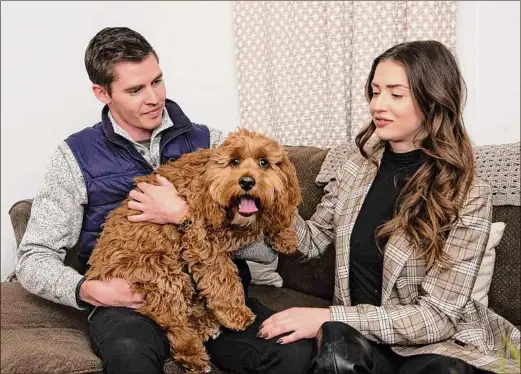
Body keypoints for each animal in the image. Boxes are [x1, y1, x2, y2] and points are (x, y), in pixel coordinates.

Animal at [85, 128, 300, 372]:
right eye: (234, 161)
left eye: (264, 162)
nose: (246, 182)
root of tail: (96, 269)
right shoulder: (204, 241)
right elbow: (223, 279)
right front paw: (235, 313)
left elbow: (270, 216)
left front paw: (284, 234)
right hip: (162, 270)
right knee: (174, 323)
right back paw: (193, 353)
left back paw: (207, 322)